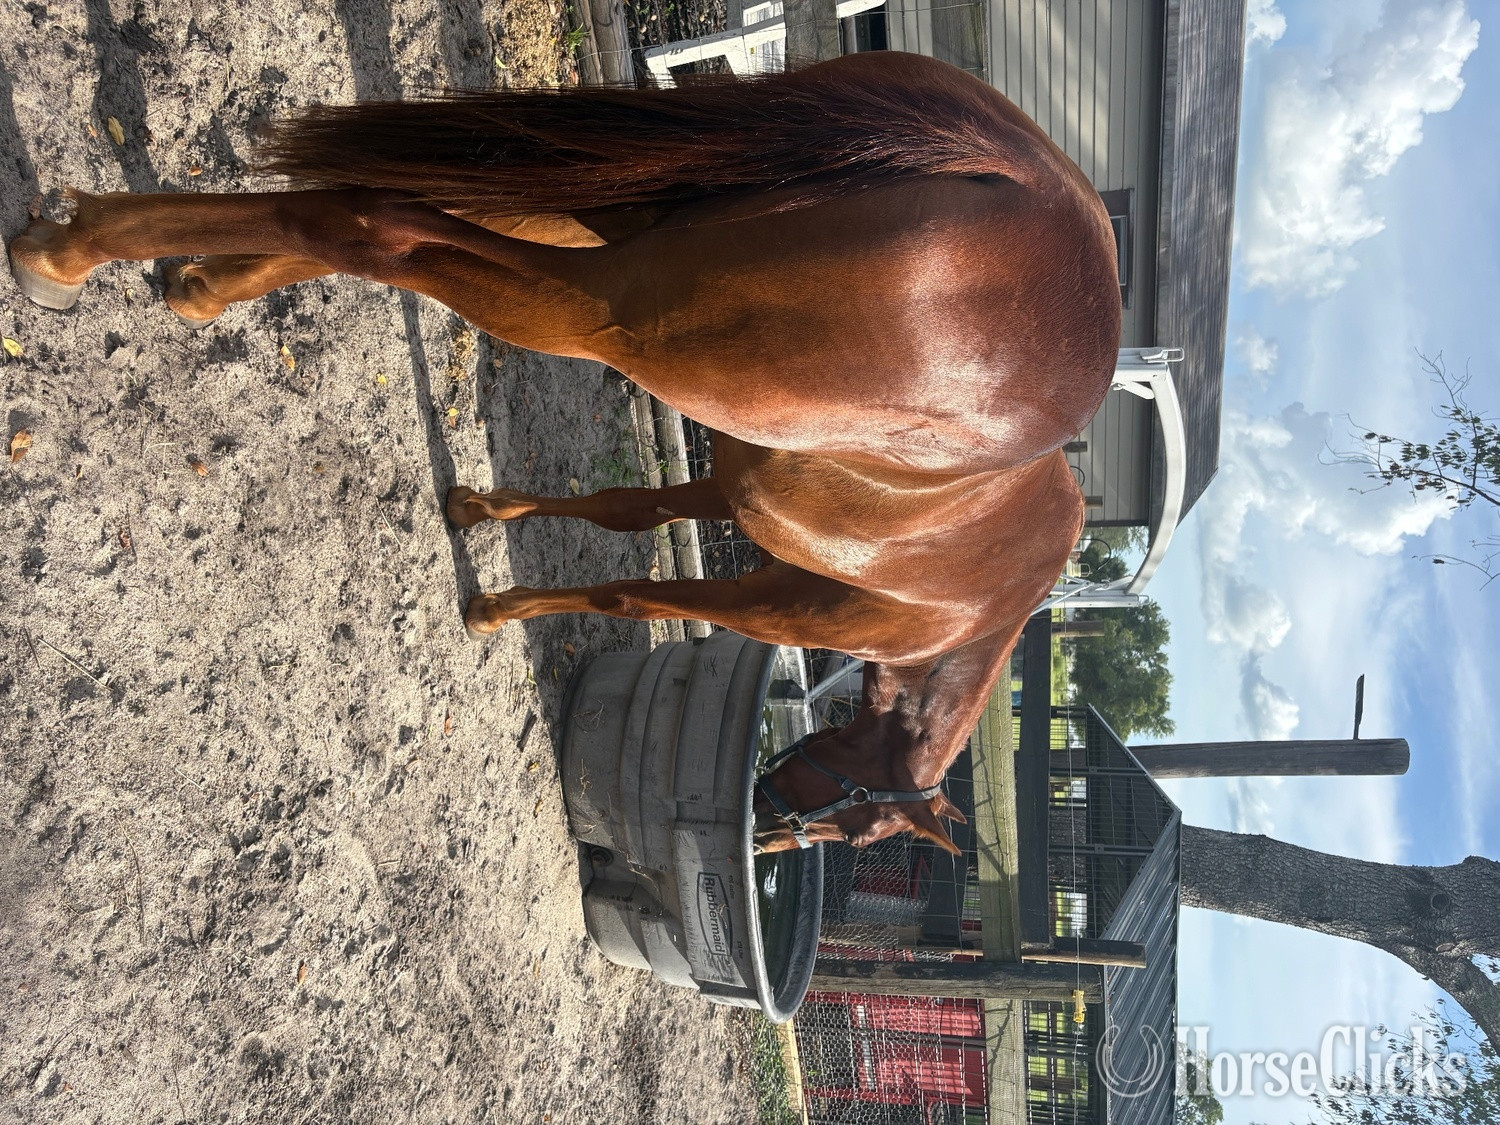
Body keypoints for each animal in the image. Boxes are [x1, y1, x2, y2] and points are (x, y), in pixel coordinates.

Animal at [8, 50, 1120, 856]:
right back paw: (72, 248)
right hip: (605, 307)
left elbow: (630, 509)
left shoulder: (731, 478)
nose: (765, 833)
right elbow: (631, 591)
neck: (963, 612)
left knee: (392, 209)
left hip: (624, 218)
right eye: (855, 824)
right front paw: (497, 609)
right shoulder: (771, 601)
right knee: (379, 222)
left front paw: (479, 516)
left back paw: (178, 273)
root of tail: (1035, 187)